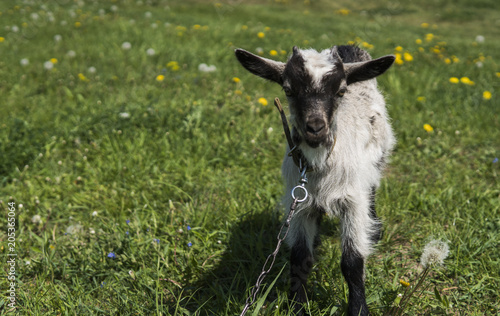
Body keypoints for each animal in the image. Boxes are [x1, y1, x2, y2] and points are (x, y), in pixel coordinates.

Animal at [236, 45, 396, 316]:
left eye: (341, 91)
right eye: (288, 89)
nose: (315, 128)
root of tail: (349, 47)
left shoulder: (353, 201)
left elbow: (352, 261)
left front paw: (358, 309)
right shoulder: (300, 202)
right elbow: (300, 258)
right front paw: (298, 306)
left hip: (378, 158)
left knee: (373, 189)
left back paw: (375, 229)